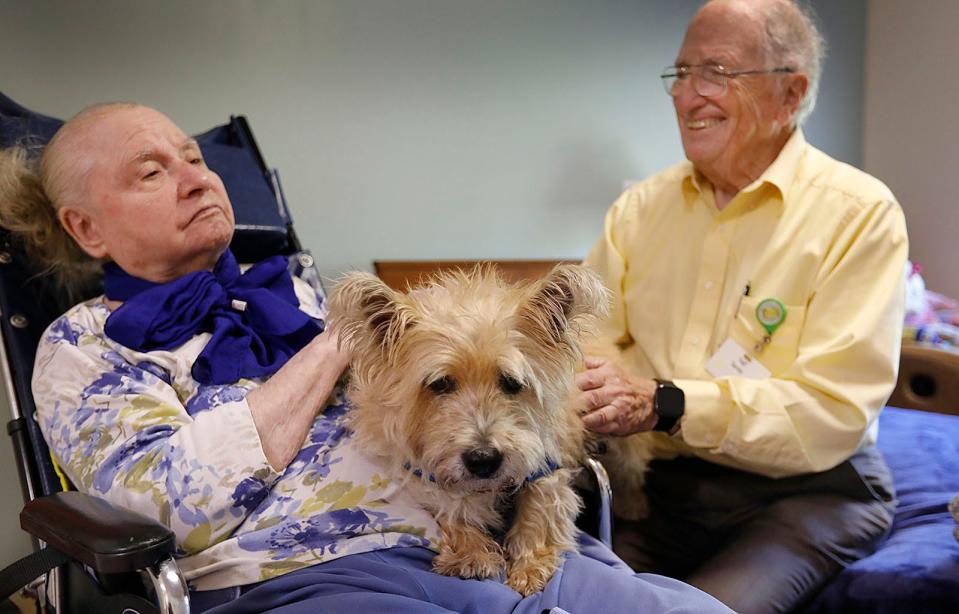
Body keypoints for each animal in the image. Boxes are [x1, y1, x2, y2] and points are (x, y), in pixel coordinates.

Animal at [332, 264, 608, 596]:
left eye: (511, 383)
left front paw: (530, 566)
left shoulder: (546, 460)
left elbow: (538, 510)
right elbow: (452, 505)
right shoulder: (426, 471)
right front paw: (471, 554)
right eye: (439, 384)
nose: (484, 459)